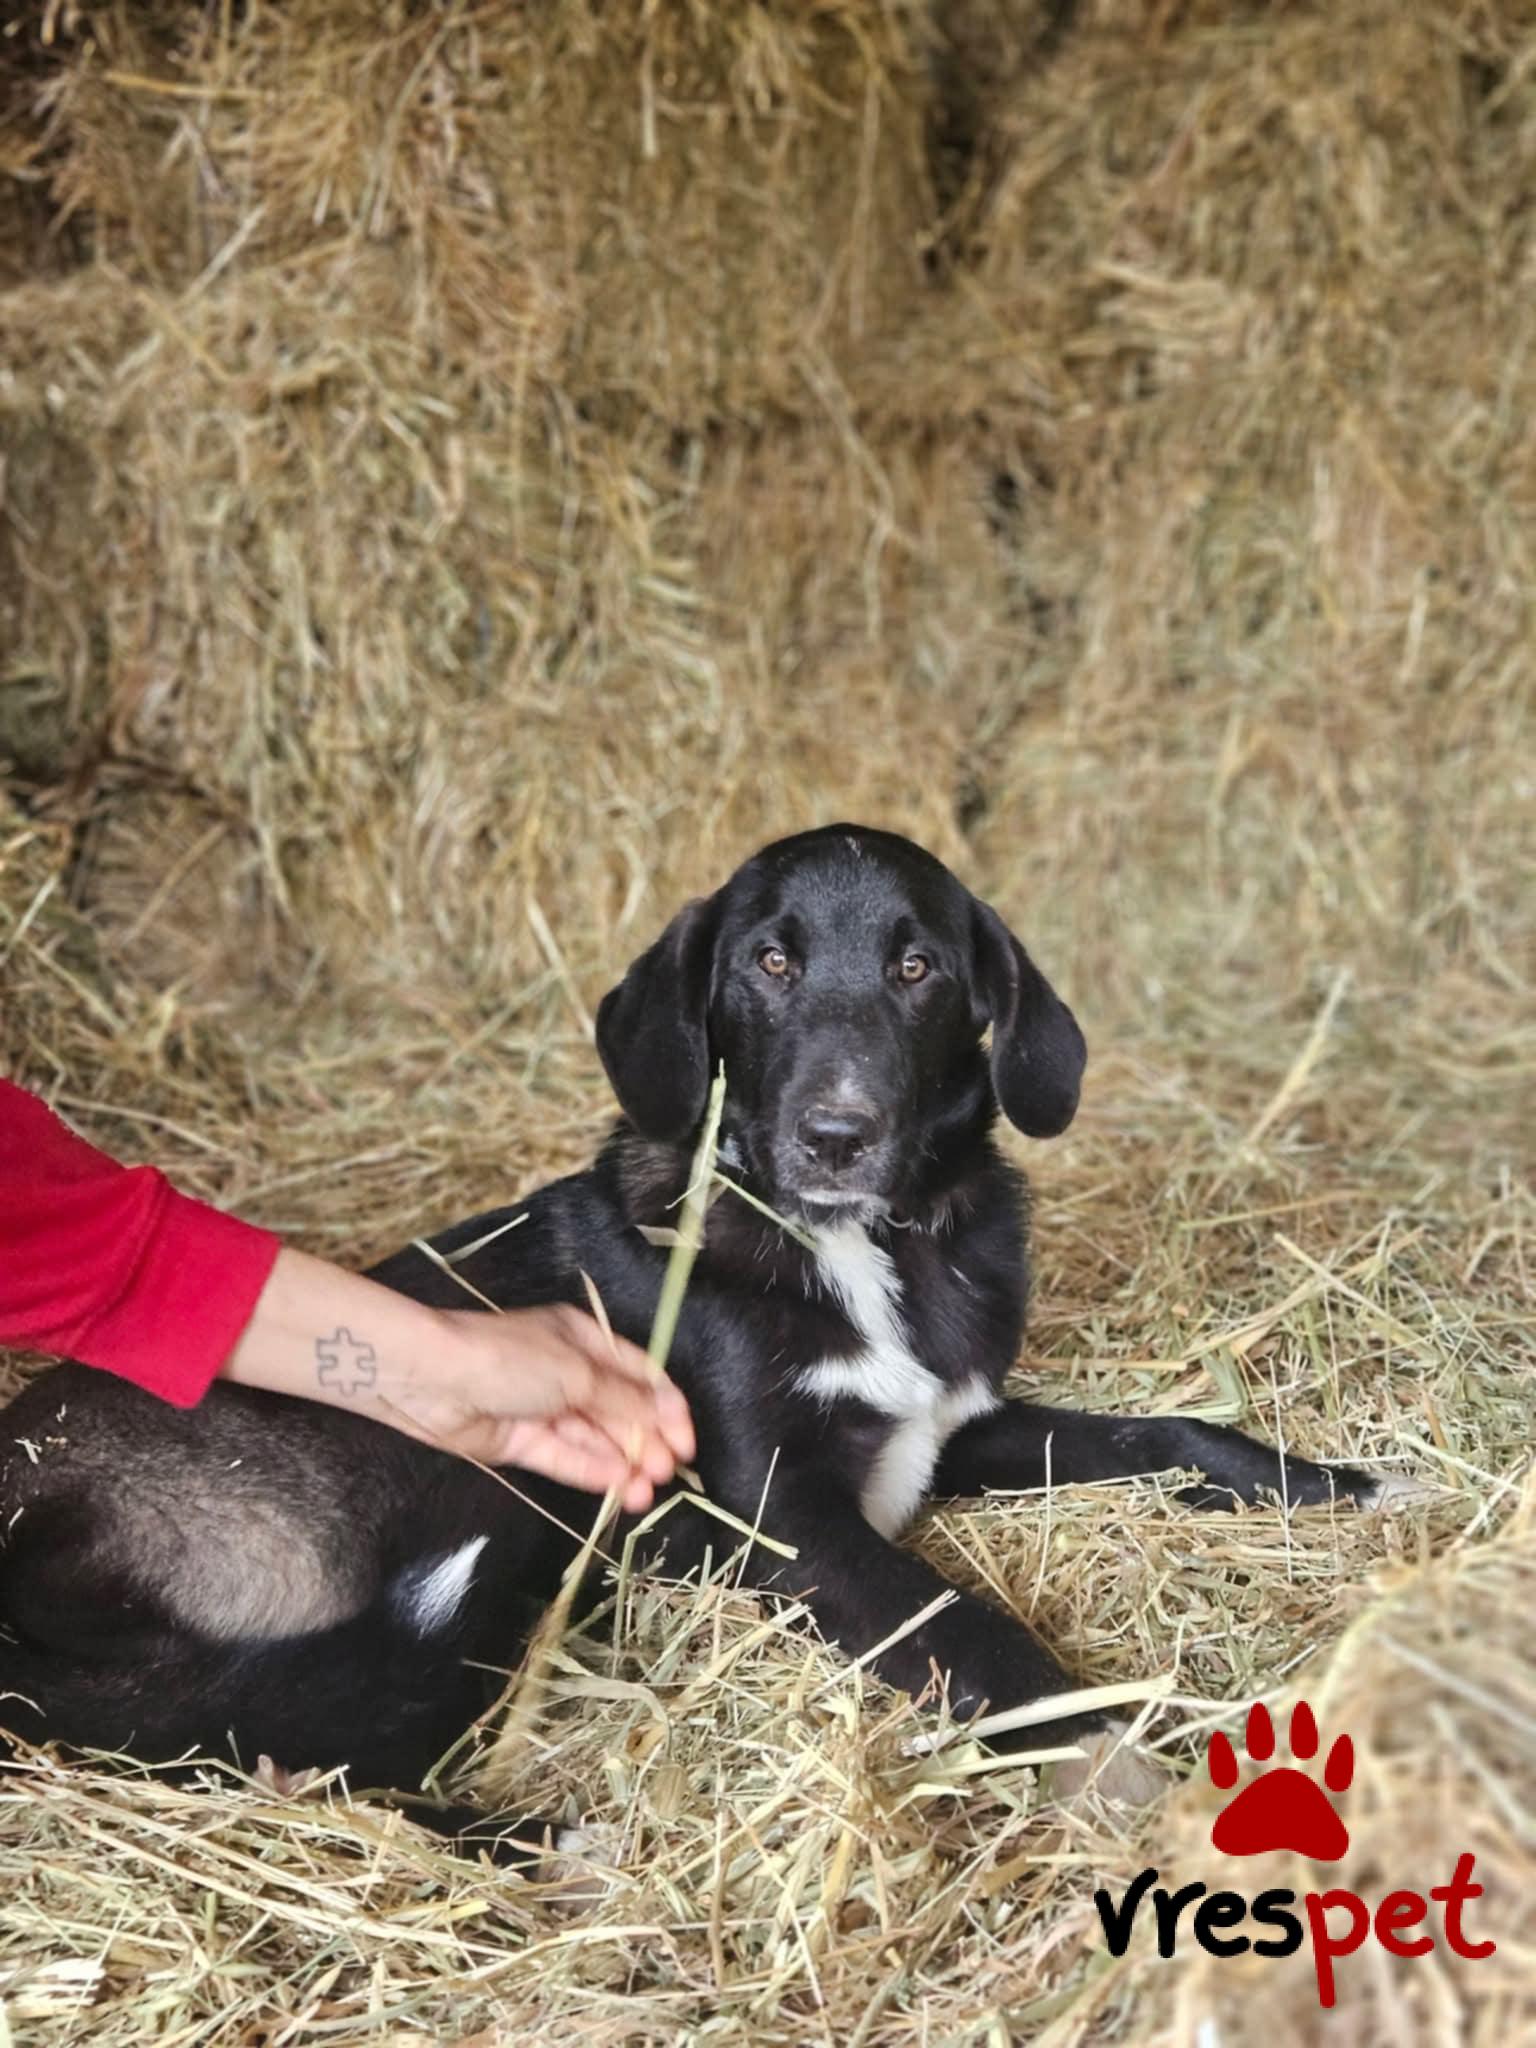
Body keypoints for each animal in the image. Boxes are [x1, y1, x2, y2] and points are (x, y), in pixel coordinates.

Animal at [0, 825, 1383, 1850]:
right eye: (769, 962)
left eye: (921, 969)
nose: (837, 1135)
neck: (861, 1243)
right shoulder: (782, 1513)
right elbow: (969, 1627)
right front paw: (1120, 1754)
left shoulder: (950, 1428)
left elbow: (1175, 1431)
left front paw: (1327, 1481)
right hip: (488, 1489)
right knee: (306, 1759)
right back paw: (550, 1839)